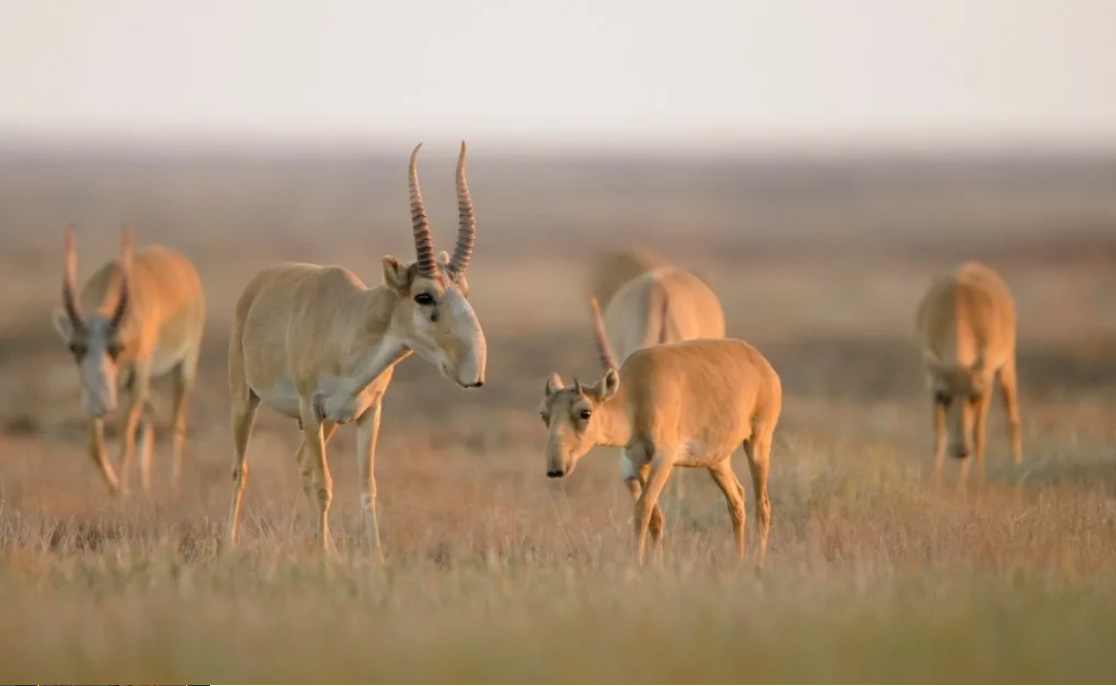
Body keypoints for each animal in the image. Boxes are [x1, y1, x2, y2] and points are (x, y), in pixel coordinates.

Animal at [51, 225, 207, 499]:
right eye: (74, 347)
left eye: (118, 347)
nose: (101, 404)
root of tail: (182, 265)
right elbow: (95, 445)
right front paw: (117, 489)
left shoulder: (140, 372)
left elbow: (125, 437)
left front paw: (123, 491)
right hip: (128, 382)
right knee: (153, 405)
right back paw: (146, 485)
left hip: (184, 364)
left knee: (176, 422)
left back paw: (173, 483)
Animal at [224, 141, 486, 557]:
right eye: (424, 295)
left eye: (464, 290)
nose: (474, 371)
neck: (347, 324)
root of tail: (259, 283)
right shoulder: (310, 409)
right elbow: (324, 485)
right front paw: (325, 563)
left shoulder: (368, 414)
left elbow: (367, 490)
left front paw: (372, 560)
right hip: (246, 400)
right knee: (241, 467)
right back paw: (229, 545)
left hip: (329, 422)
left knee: (301, 463)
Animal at [535, 298, 781, 566]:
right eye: (544, 414)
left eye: (585, 412)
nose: (556, 469)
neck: (634, 394)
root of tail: (762, 363)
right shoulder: (639, 460)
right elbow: (655, 516)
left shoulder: (664, 459)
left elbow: (642, 509)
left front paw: (638, 563)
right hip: (716, 460)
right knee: (736, 498)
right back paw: (739, 559)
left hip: (758, 441)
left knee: (763, 506)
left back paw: (758, 561)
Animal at [915, 258, 1022, 488]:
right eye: (942, 395)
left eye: (975, 394)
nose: (961, 450)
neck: (959, 307)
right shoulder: (932, 382)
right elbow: (939, 434)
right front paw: (936, 481)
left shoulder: (986, 382)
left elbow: (978, 435)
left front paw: (977, 482)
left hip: (1008, 365)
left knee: (1012, 416)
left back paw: (1017, 465)